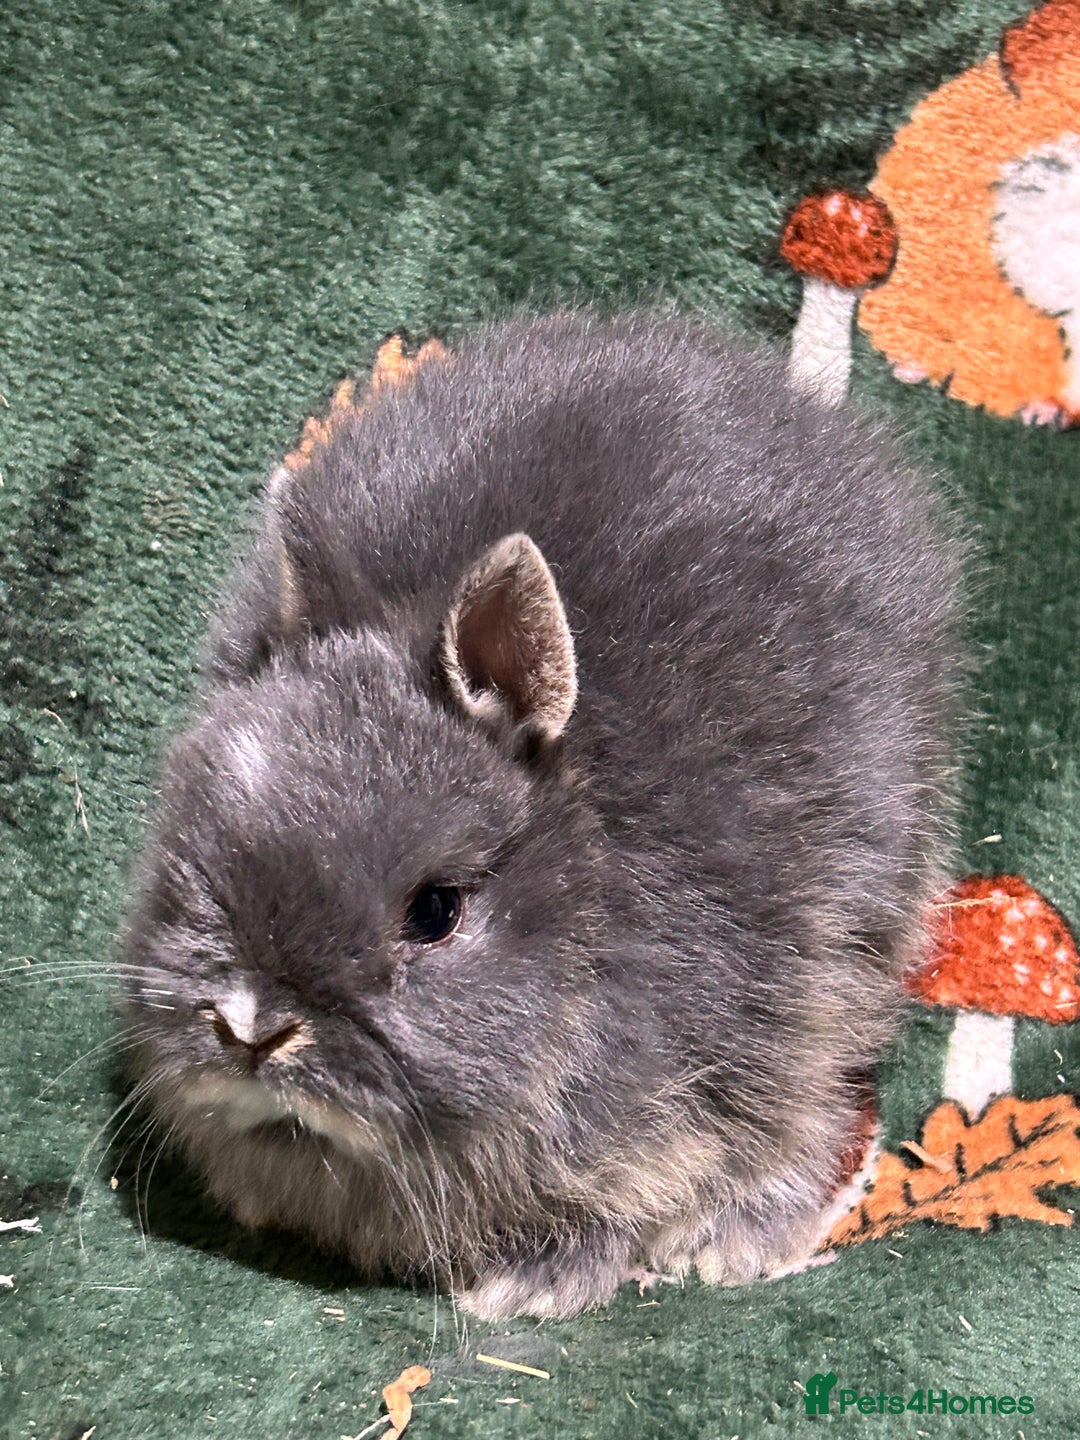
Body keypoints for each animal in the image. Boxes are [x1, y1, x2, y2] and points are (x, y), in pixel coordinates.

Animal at [121, 309, 963, 1320]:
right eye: (198, 859)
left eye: (435, 911)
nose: (252, 1030)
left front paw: (533, 1284)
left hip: (857, 928)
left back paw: (742, 1240)